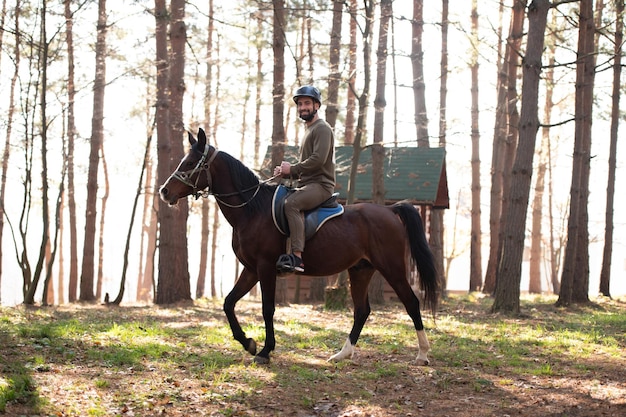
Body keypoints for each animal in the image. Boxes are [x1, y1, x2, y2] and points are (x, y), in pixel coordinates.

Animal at [158, 127, 436, 364]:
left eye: (190, 163)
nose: (164, 191)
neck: (251, 210)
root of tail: (390, 210)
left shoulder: (265, 267)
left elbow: (267, 308)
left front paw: (265, 351)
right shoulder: (251, 269)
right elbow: (228, 303)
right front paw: (248, 342)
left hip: (392, 268)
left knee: (411, 303)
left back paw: (422, 354)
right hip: (360, 270)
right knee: (361, 310)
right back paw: (342, 354)